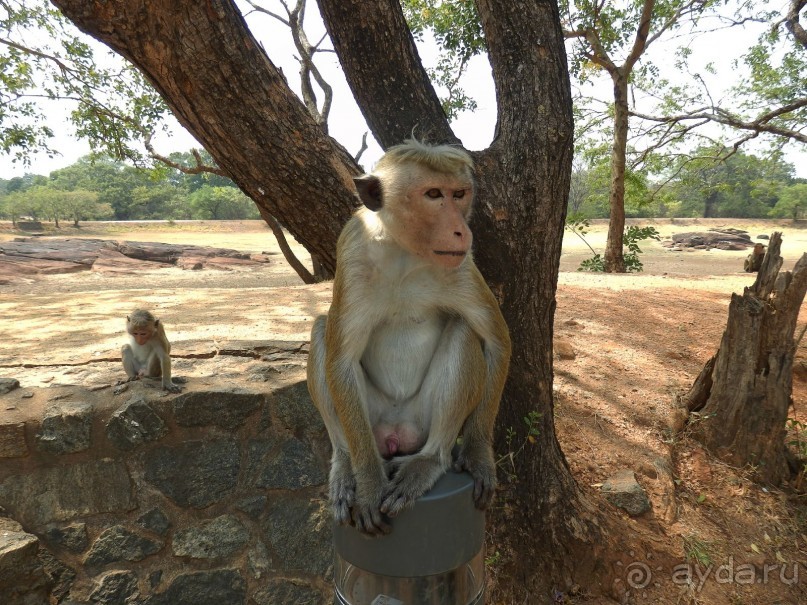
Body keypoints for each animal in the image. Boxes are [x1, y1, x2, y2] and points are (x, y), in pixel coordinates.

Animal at [308, 139, 512, 536]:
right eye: (433, 194)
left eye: (459, 194)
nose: (461, 230)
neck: (404, 252)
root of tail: (396, 434)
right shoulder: (351, 250)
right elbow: (340, 361)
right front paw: (369, 485)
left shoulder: (462, 263)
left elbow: (496, 340)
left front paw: (478, 452)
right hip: (370, 424)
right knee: (323, 331)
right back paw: (345, 465)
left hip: (421, 420)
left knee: (463, 330)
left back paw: (429, 460)